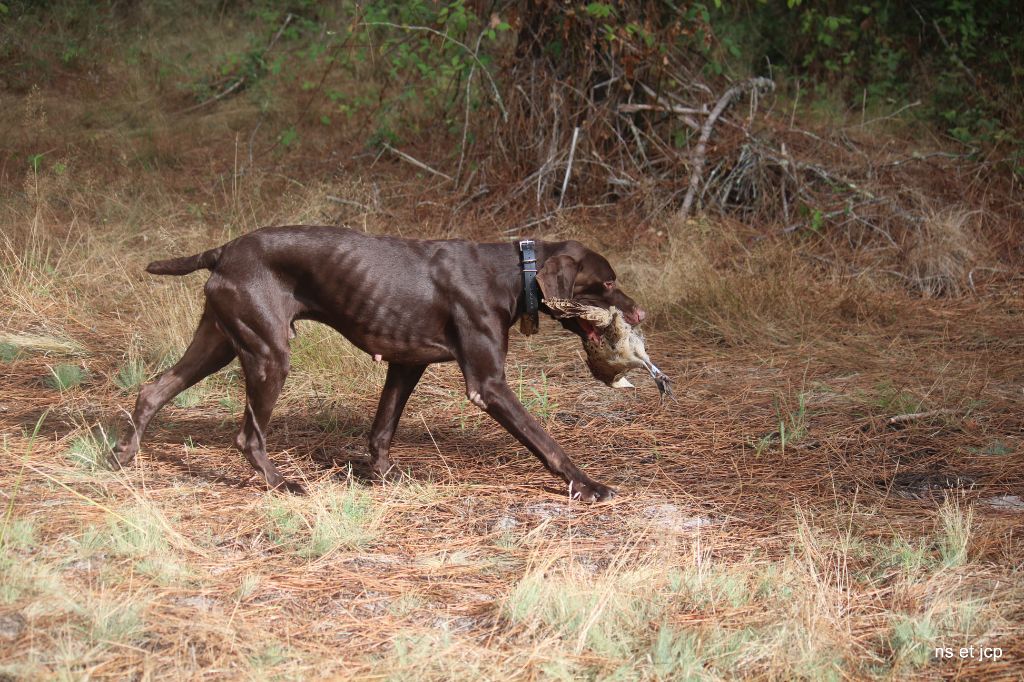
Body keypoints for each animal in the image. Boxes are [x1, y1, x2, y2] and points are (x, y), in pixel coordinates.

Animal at [110, 225, 638, 497]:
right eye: (608, 282)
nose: (640, 313)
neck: (512, 272)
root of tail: (224, 250)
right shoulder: (488, 385)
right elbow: (544, 440)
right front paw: (586, 483)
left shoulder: (406, 364)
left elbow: (382, 427)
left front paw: (381, 474)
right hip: (268, 354)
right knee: (247, 435)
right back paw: (281, 483)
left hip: (218, 342)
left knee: (152, 390)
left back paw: (124, 454)